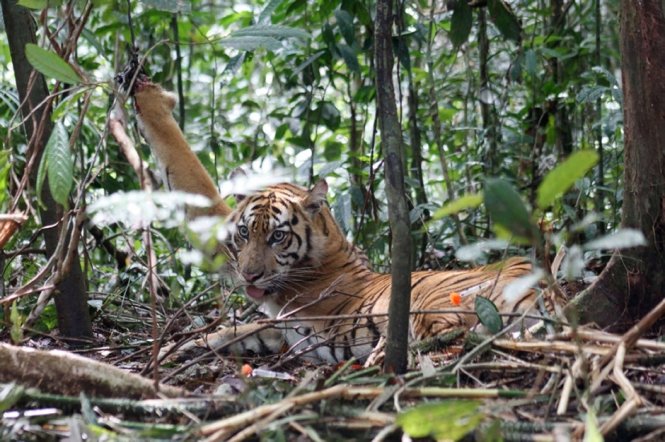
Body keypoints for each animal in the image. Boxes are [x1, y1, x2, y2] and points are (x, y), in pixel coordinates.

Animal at [130, 77, 556, 364]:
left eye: (278, 237)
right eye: (245, 233)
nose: (250, 275)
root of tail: (548, 288)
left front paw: (145, 96)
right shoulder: (275, 324)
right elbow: (229, 331)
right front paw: (182, 347)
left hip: (437, 304)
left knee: (451, 342)